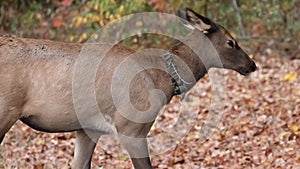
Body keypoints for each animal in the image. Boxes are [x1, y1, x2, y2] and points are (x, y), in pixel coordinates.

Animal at [0, 8, 256, 169]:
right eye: (231, 42)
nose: (252, 65)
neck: (164, 78)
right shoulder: (131, 128)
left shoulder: (88, 129)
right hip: (5, 111)